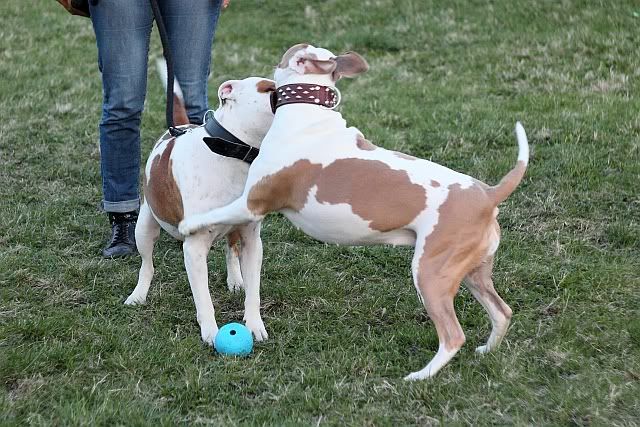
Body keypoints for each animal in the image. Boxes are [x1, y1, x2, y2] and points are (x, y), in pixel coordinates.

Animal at [125, 61, 275, 345]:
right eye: (268, 88)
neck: (232, 155)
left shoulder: (253, 241)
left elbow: (254, 290)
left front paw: (254, 324)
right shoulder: (194, 249)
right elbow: (204, 298)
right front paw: (211, 333)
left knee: (231, 249)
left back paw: (235, 279)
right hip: (144, 228)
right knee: (147, 264)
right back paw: (138, 295)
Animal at [178, 44, 529, 380]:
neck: (308, 111)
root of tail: (487, 194)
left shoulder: (252, 202)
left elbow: (214, 214)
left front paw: (187, 224)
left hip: (430, 273)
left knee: (453, 335)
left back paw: (420, 377)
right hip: (472, 271)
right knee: (502, 312)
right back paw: (487, 350)